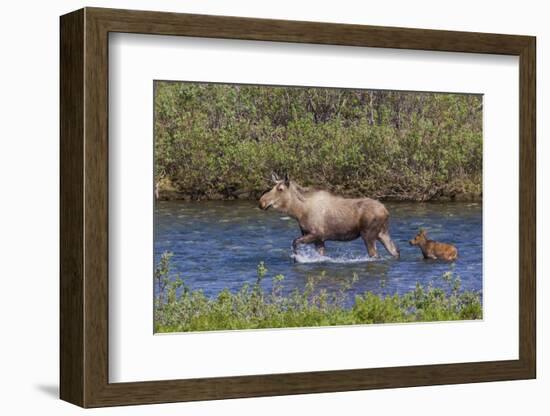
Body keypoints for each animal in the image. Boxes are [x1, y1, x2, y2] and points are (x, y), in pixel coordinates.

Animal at [258, 171, 402, 256]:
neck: (298, 212)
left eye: (280, 189)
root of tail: (386, 211)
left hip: (368, 235)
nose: (261, 202)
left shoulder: (316, 234)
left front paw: (297, 258)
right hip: (382, 233)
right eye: (272, 187)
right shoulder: (318, 239)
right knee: (396, 251)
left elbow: (294, 243)